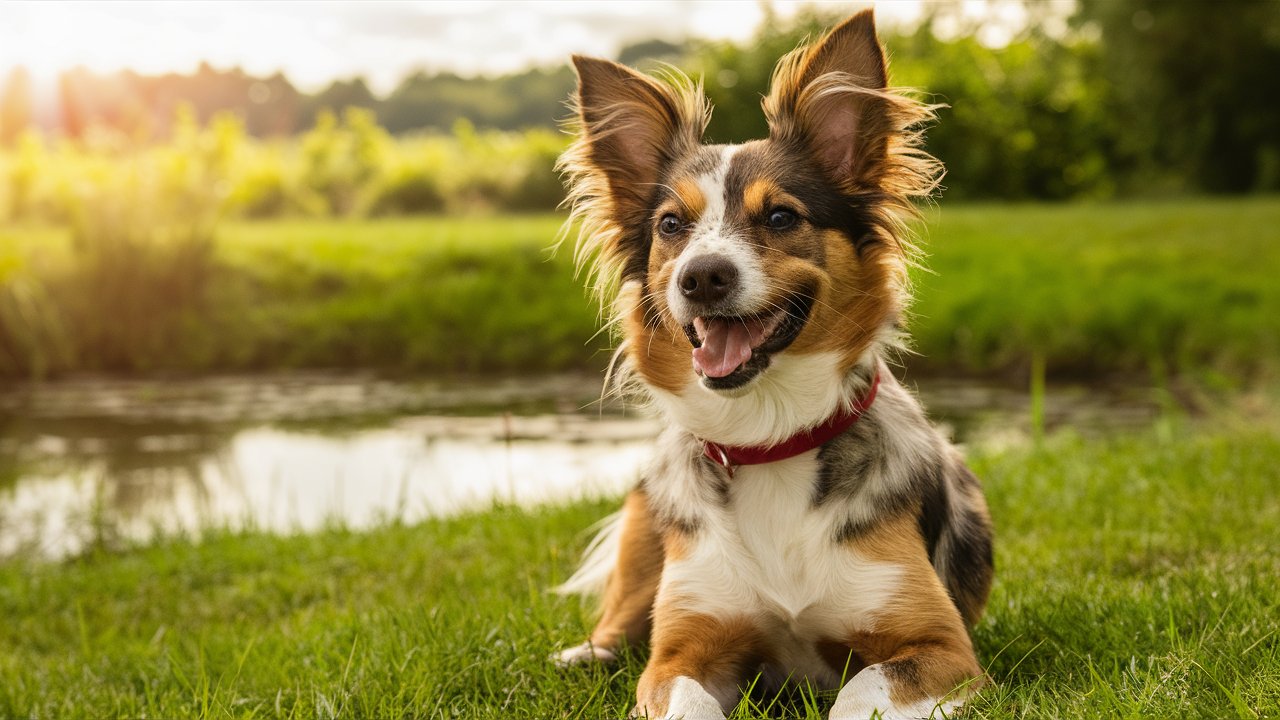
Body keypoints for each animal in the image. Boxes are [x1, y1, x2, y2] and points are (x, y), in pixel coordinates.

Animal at [555, 11, 993, 717]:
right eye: (671, 225)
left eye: (782, 216)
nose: (702, 277)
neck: (769, 439)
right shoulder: (680, 653)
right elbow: (681, 692)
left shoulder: (940, 648)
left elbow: (860, 693)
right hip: (646, 525)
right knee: (617, 621)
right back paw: (583, 653)